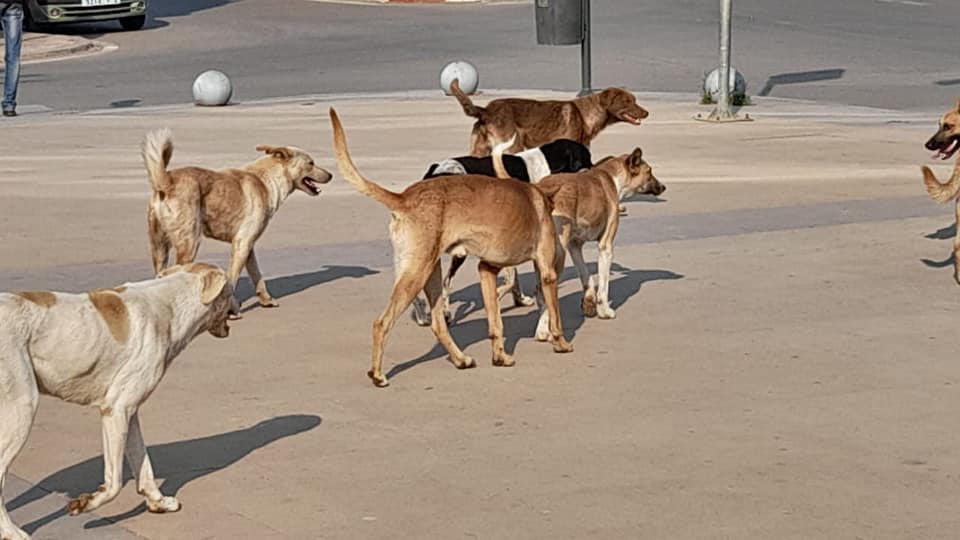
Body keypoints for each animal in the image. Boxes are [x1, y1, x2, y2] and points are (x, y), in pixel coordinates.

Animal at [0, 262, 238, 540]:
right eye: (230, 289)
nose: (237, 309)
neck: (170, 306)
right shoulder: (116, 409)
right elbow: (113, 483)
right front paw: (88, 503)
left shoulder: (128, 412)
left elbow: (143, 463)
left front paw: (158, 501)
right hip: (21, 410)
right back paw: (10, 530)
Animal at [142, 127, 334, 310]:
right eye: (311, 163)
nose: (331, 175)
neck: (266, 180)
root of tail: (166, 181)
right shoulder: (242, 244)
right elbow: (232, 279)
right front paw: (232, 309)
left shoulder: (248, 245)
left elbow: (257, 275)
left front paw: (266, 300)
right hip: (190, 242)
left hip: (159, 246)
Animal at [410, 138, 592, 324]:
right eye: (587, 158)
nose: (594, 171)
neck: (542, 164)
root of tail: (436, 173)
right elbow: (511, 279)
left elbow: (513, 278)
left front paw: (519, 299)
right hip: (457, 250)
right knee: (445, 281)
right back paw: (440, 313)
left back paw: (423, 316)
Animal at [452, 79, 652, 157]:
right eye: (628, 101)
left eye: (635, 100)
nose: (647, 113)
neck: (586, 115)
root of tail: (486, 110)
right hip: (512, 147)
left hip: (479, 150)